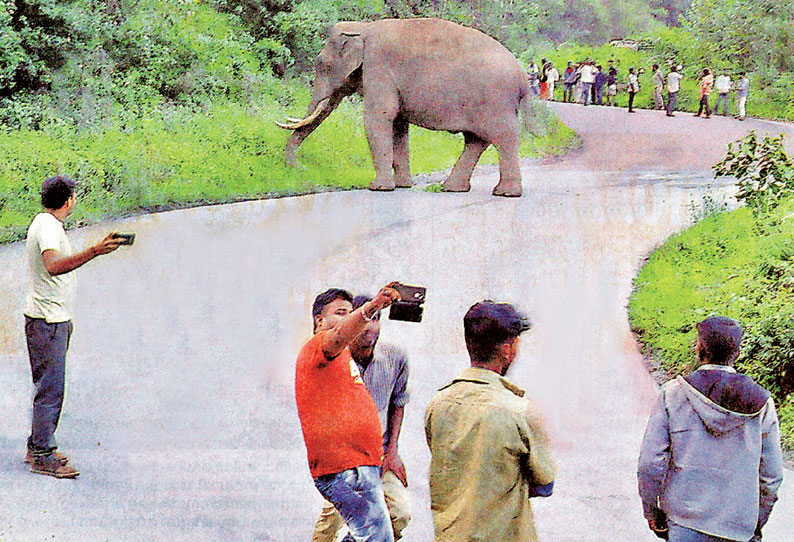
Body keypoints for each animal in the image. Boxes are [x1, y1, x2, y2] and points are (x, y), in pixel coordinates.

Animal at [276, 17, 532, 201]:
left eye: (321, 65)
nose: (301, 168)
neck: (362, 28)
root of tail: (523, 77)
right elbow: (398, 126)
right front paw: (402, 186)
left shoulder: (378, 67)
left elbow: (378, 118)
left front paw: (378, 188)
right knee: (476, 140)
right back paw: (451, 188)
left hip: (496, 102)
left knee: (504, 138)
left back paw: (505, 193)